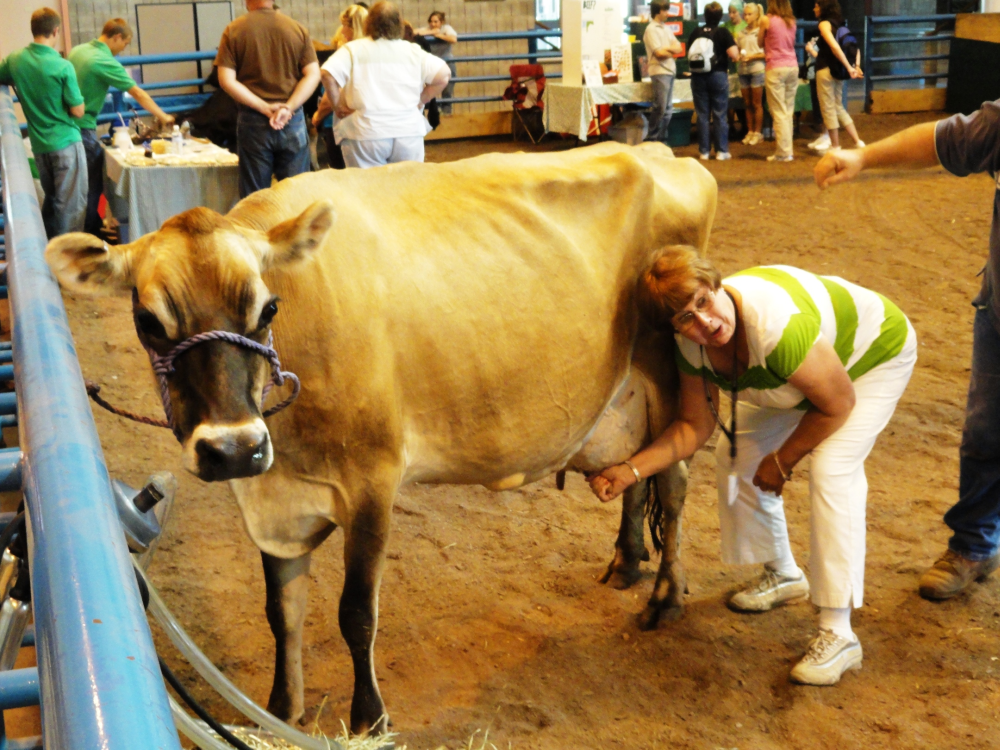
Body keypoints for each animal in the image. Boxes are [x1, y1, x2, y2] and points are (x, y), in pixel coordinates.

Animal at [48, 144, 720, 736]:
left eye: (267, 310)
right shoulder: (273, 496)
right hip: (625, 395)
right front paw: (279, 712)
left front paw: (370, 719)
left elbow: (356, 614)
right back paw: (627, 560)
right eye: (147, 321)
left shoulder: (371, 480)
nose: (234, 448)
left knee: (675, 480)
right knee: (635, 474)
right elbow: (280, 612)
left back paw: (666, 594)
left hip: (668, 375)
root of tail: (661, 152)